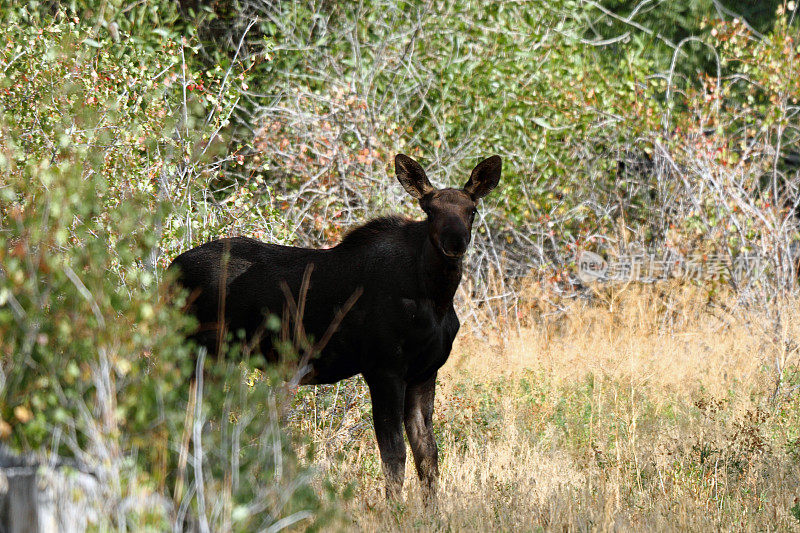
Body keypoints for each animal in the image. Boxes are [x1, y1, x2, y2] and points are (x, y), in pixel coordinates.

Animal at [170, 153, 500, 498]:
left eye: (472, 210)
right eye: (429, 210)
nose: (455, 242)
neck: (436, 298)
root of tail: (169, 270)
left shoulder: (425, 372)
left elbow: (428, 456)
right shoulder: (383, 369)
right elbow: (394, 456)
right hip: (194, 352)